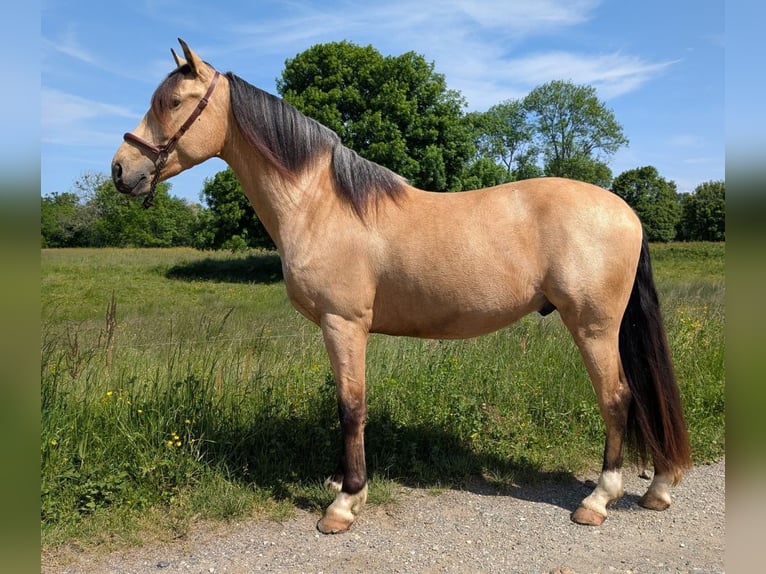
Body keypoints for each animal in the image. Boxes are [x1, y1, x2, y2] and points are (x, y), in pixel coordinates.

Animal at [112, 39, 692, 534]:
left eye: (173, 102)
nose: (121, 170)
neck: (321, 203)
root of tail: (626, 210)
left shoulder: (343, 324)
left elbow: (351, 407)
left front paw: (345, 503)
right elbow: (346, 405)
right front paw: (344, 486)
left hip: (594, 326)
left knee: (617, 397)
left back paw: (598, 499)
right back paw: (658, 487)